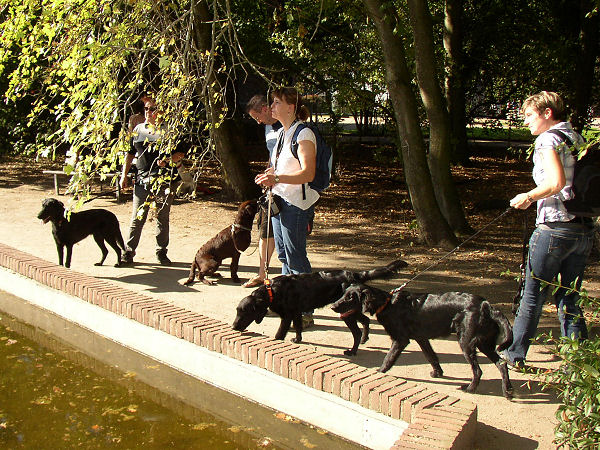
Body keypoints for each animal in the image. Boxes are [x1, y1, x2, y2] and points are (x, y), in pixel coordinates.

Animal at [232, 259, 408, 355]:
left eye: (245, 313)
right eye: (237, 311)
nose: (233, 327)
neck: (272, 291)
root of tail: (355, 275)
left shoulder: (287, 316)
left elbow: (279, 333)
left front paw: (277, 342)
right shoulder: (296, 313)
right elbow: (298, 327)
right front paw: (297, 339)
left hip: (345, 311)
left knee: (357, 332)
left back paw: (352, 351)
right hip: (352, 310)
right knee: (365, 320)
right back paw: (365, 339)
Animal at [331, 284, 514, 398]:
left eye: (350, 297)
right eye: (343, 295)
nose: (333, 306)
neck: (387, 303)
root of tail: (487, 305)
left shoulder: (401, 339)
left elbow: (388, 358)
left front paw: (379, 372)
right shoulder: (421, 337)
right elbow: (431, 356)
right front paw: (438, 373)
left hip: (467, 342)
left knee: (478, 370)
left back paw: (470, 389)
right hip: (484, 343)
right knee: (502, 364)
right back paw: (508, 392)